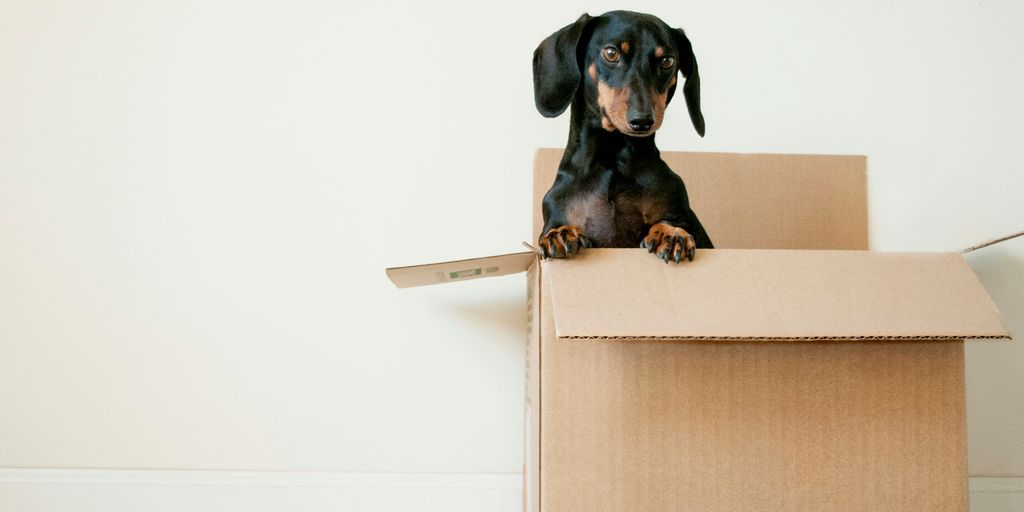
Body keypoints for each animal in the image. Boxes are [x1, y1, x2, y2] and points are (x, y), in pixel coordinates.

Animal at [536, 11, 712, 264]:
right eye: (611, 53)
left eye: (667, 61)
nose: (642, 120)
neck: (613, 160)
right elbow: (556, 228)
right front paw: (560, 233)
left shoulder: (682, 214)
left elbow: (671, 222)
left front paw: (670, 233)